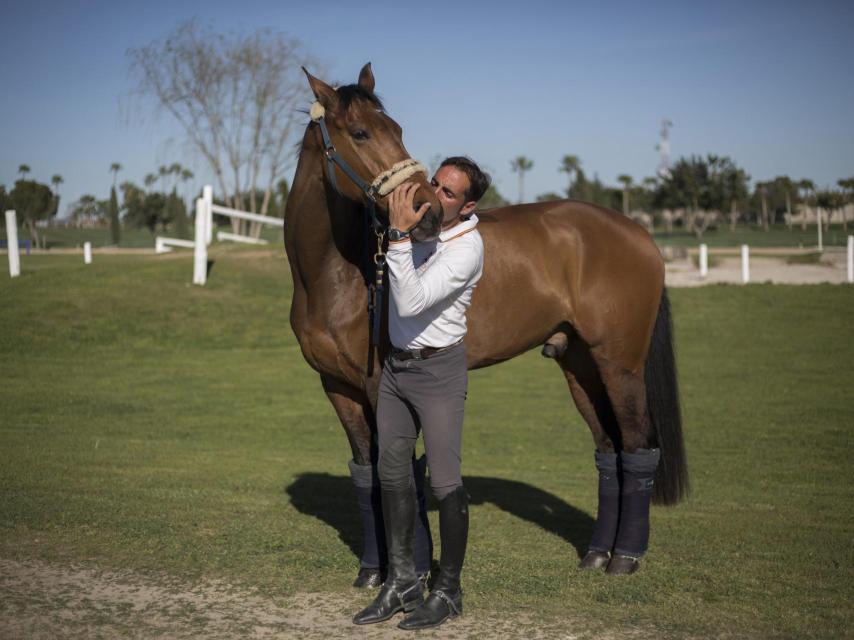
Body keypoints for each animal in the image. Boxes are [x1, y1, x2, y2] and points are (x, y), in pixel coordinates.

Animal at [284, 64, 688, 582]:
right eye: (359, 132)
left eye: (396, 129)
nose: (427, 211)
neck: (336, 275)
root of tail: (640, 233)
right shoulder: (336, 388)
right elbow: (365, 474)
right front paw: (373, 571)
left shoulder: (380, 388)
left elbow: (398, 475)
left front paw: (409, 573)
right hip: (580, 366)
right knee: (609, 449)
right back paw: (598, 554)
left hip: (619, 365)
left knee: (637, 446)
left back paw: (624, 558)